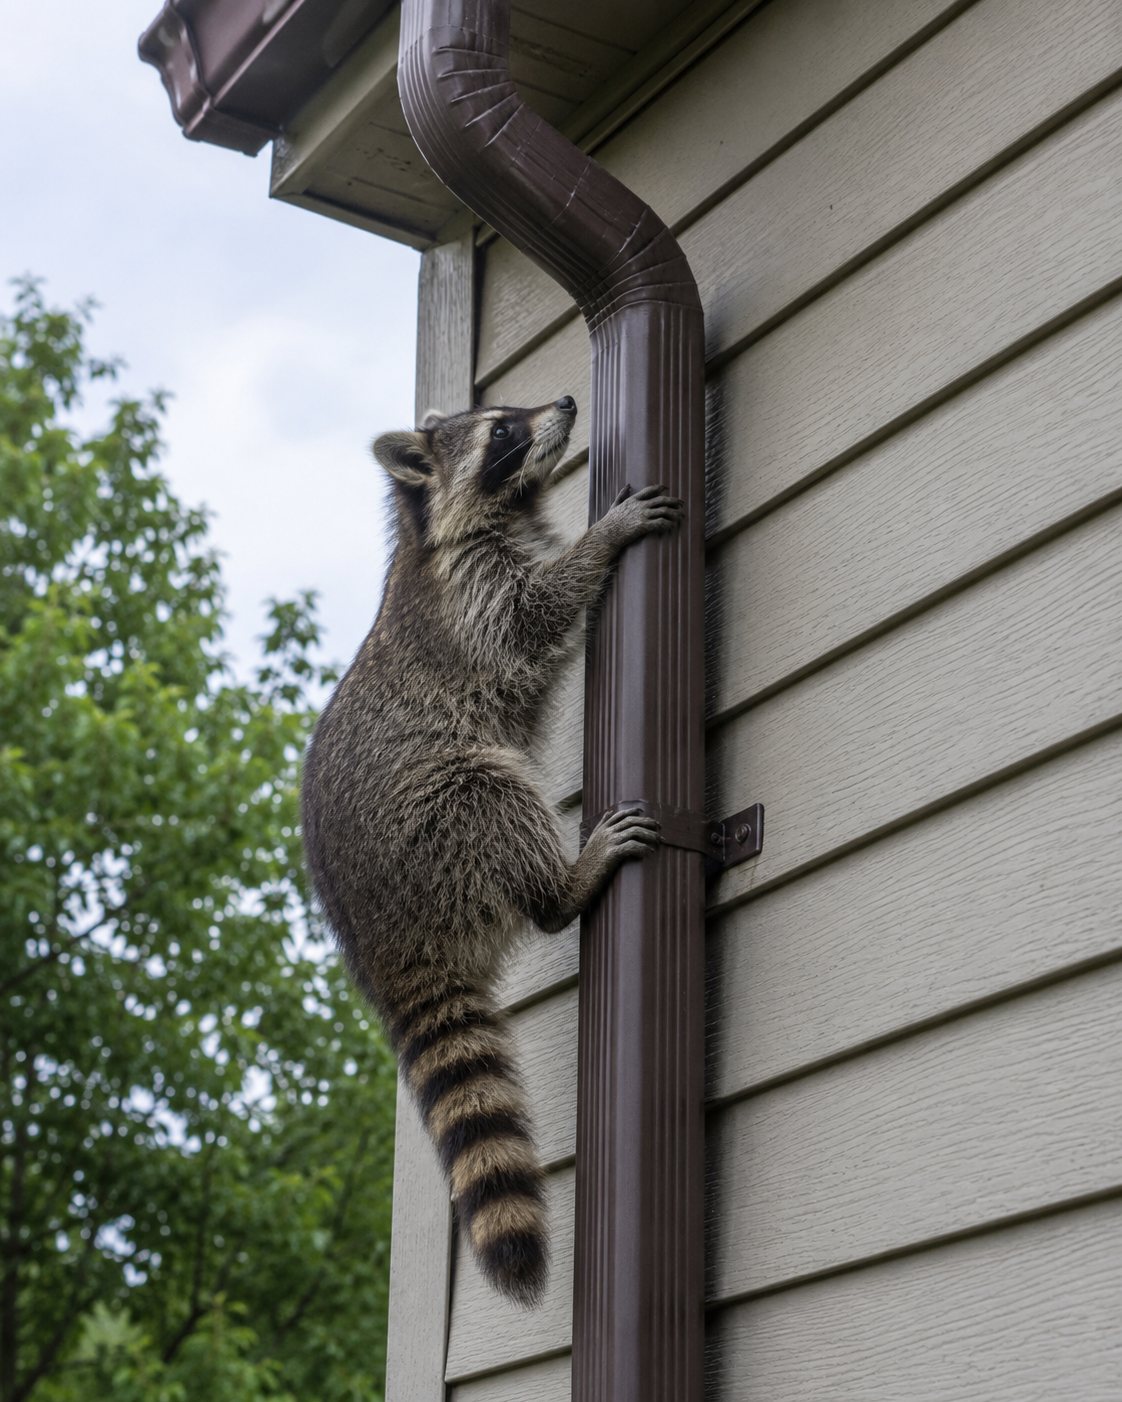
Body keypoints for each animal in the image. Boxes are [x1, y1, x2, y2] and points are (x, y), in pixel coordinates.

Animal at [300, 397, 684, 1305]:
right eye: (502, 430)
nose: (569, 404)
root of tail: (376, 940)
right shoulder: (473, 593)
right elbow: (535, 610)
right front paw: (602, 538)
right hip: (431, 821)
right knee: (488, 789)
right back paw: (564, 886)